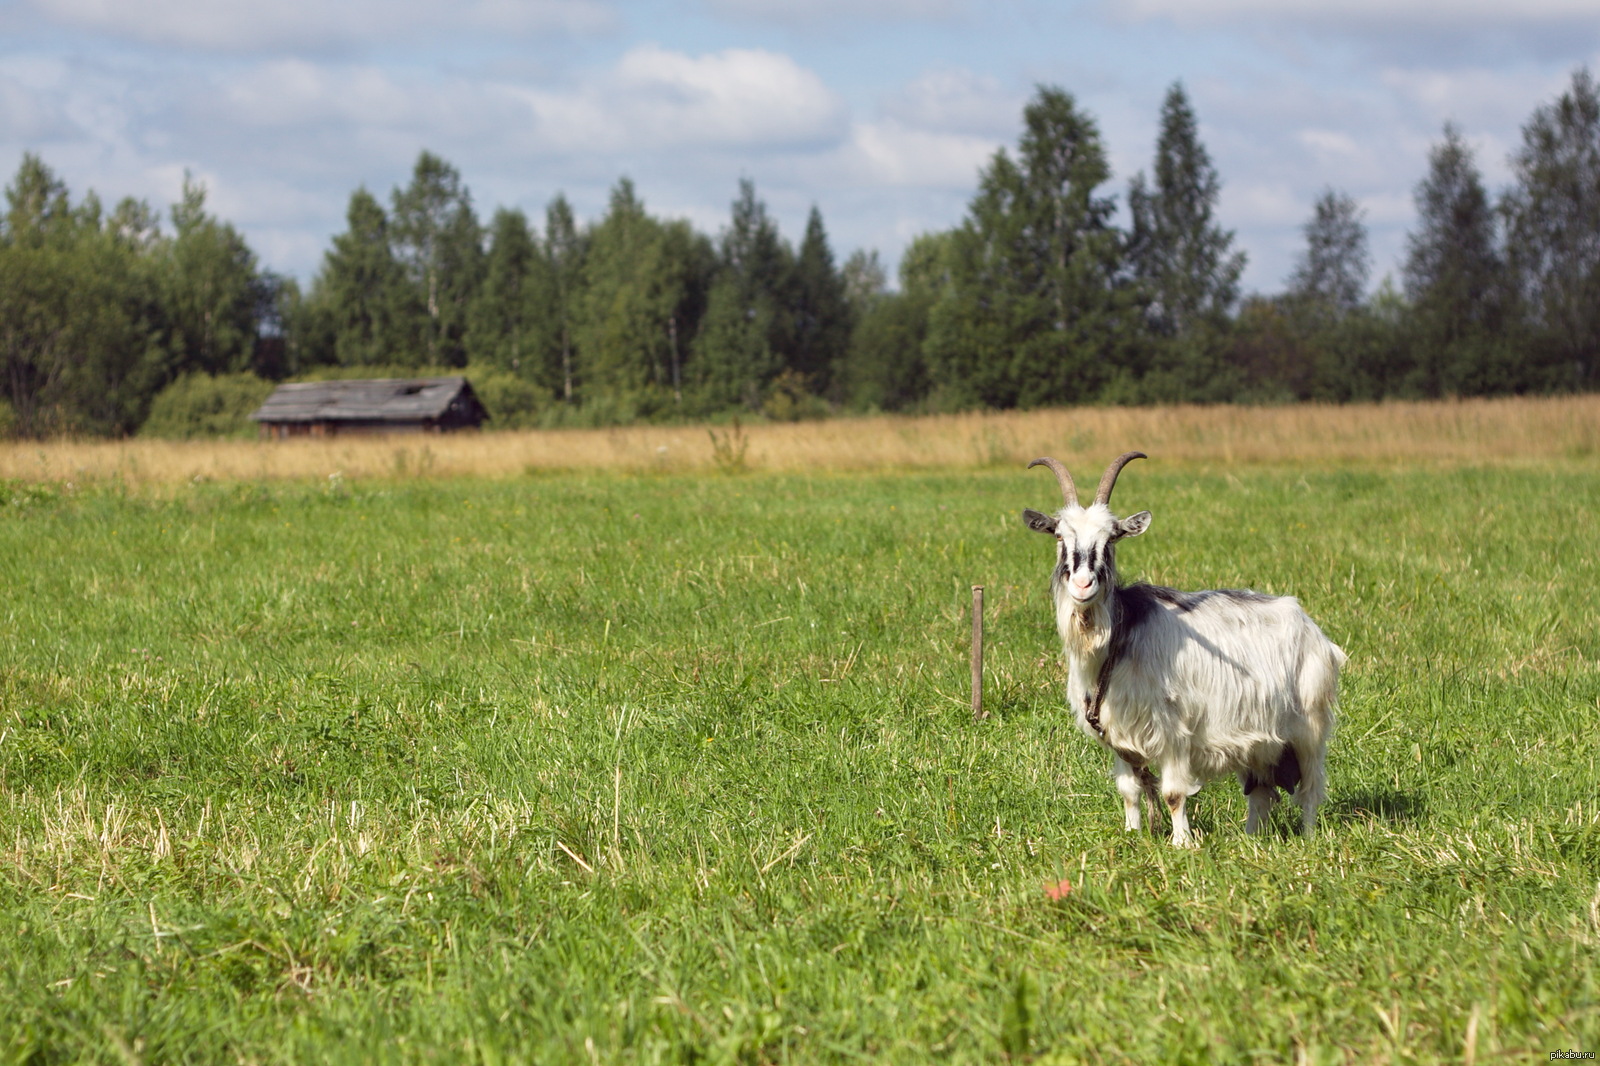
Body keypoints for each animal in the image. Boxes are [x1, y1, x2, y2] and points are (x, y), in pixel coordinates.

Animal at [1017, 451, 1344, 845]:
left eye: (1111, 539)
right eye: (1060, 537)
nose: (1083, 584)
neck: (1117, 644)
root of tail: (1313, 629)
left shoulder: (1174, 732)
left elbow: (1173, 793)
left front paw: (1182, 844)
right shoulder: (1119, 737)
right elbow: (1130, 790)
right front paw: (1133, 835)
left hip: (1310, 725)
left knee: (1310, 789)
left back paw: (1309, 838)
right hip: (1259, 739)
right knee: (1262, 793)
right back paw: (1251, 838)